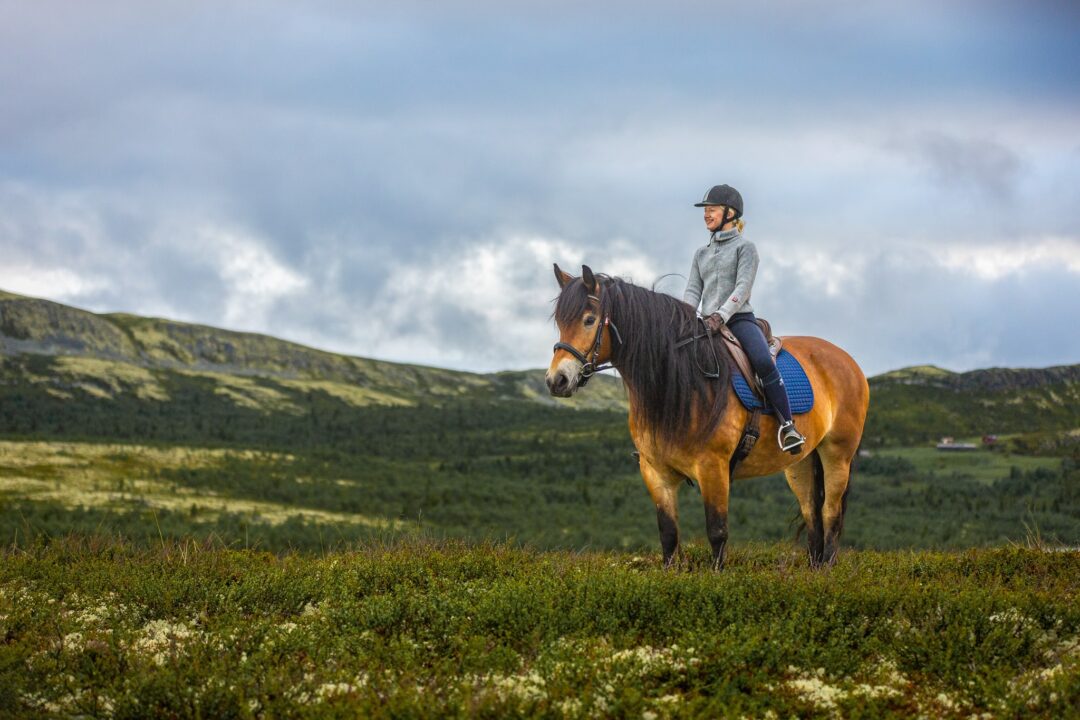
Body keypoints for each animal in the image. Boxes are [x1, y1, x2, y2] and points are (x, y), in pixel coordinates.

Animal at [546, 264, 869, 569]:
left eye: (589, 320)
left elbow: (717, 532)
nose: (556, 381)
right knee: (812, 514)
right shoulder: (656, 473)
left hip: (837, 455)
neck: (681, 383)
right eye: (560, 323)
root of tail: (849, 362)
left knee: (831, 513)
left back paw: (826, 570)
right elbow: (669, 535)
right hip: (800, 462)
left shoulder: (713, 469)